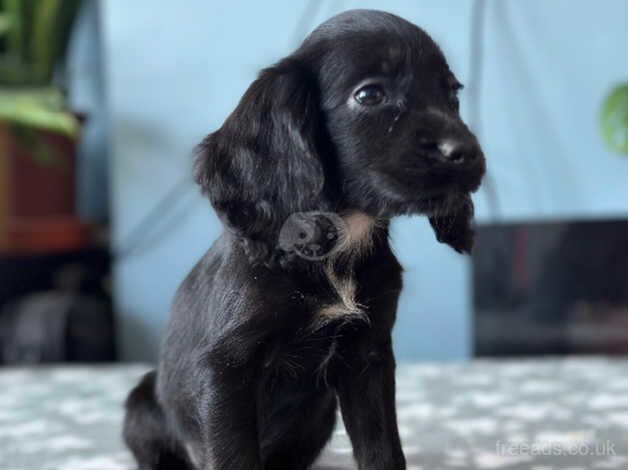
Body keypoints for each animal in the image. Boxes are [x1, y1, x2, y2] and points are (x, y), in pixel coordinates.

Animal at [122, 8, 486, 470]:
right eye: (370, 95)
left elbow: (382, 448)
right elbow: (233, 455)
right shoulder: (225, 371)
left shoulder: (368, 356)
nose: (467, 153)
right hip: (141, 405)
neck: (335, 251)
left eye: (452, 94)